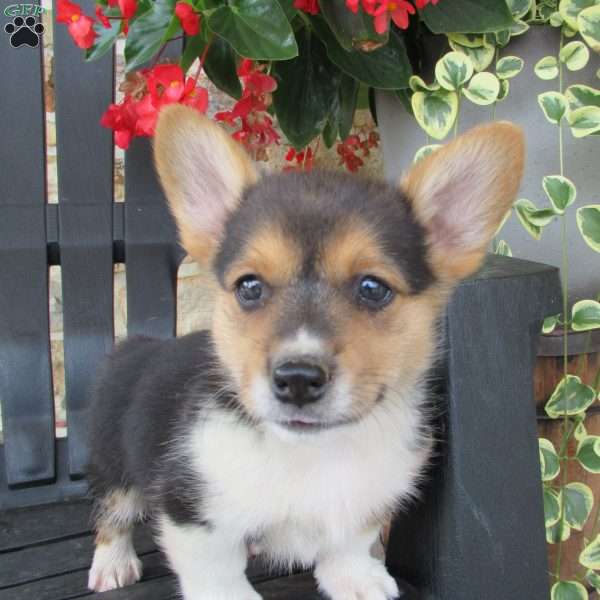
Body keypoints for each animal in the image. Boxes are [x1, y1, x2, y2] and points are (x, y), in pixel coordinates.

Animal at [86, 104, 524, 600]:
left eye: (372, 288)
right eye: (249, 286)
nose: (296, 379)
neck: (315, 453)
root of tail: (140, 347)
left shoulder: (368, 499)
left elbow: (351, 541)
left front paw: (356, 580)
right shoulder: (192, 510)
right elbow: (217, 570)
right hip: (113, 461)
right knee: (113, 513)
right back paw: (113, 564)